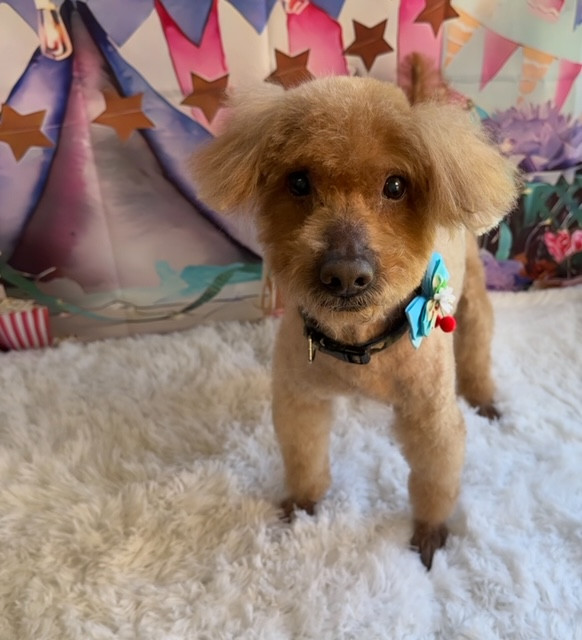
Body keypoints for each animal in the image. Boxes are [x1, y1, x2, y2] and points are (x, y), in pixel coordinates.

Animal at [192, 74, 519, 569]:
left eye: (396, 185)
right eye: (299, 181)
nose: (345, 273)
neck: (358, 342)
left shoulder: (431, 417)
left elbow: (436, 475)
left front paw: (430, 531)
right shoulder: (299, 398)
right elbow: (304, 456)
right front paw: (302, 506)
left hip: (472, 294)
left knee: (478, 342)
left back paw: (485, 398)